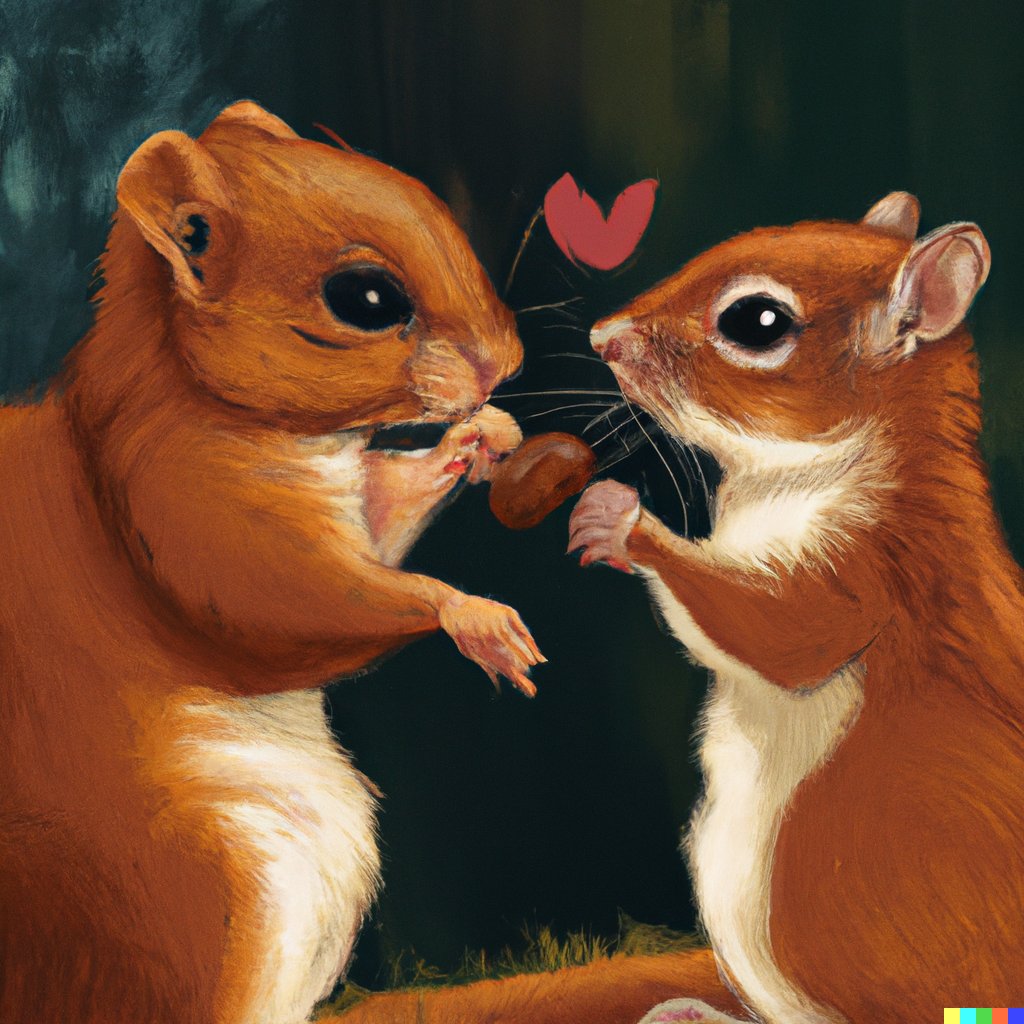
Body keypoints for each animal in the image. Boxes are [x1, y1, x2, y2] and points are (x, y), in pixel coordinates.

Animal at [0, 101, 543, 1024]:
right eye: (364, 298)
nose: (502, 364)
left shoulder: (350, 502)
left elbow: (386, 515)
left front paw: (482, 437)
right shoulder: (180, 508)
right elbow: (298, 605)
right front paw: (472, 615)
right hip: (206, 896)